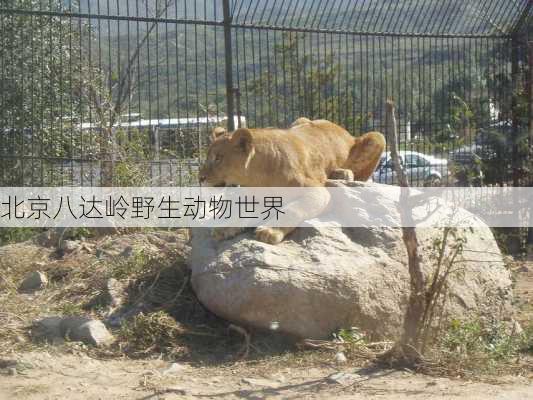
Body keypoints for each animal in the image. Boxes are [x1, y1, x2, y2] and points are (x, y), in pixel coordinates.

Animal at [198, 119, 382, 244]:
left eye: (218, 158)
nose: (200, 178)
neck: (258, 177)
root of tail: (343, 130)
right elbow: (239, 212)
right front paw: (224, 228)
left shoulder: (316, 190)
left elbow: (293, 209)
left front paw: (269, 231)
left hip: (377, 137)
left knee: (362, 175)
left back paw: (342, 173)